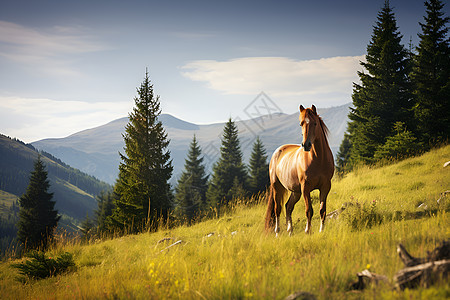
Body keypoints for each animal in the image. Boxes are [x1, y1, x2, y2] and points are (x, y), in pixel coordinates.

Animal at [264, 104, 334, 236]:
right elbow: (309, 210)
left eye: (315, 123)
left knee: (288, 206)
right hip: (277, 187)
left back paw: (290, 231)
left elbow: (322, 210)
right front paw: (308, 231)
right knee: (277, 209)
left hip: (295, 191)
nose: (306, 145)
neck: (318, 159)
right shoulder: (305, 187)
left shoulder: (325, 186)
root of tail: (277, 151)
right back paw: (277, 232)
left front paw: (321, 230)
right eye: (301, 123)